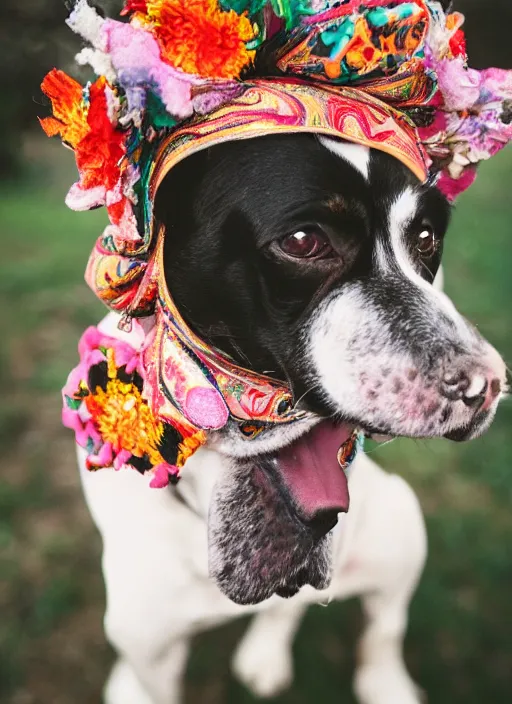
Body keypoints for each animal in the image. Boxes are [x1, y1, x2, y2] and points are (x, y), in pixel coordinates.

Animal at [78, 133, 506, 704]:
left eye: (425, 237)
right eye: (303, 241)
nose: (487, 386)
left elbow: (382, 628)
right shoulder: (151, 642)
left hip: (398, 522)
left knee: (380, 625)